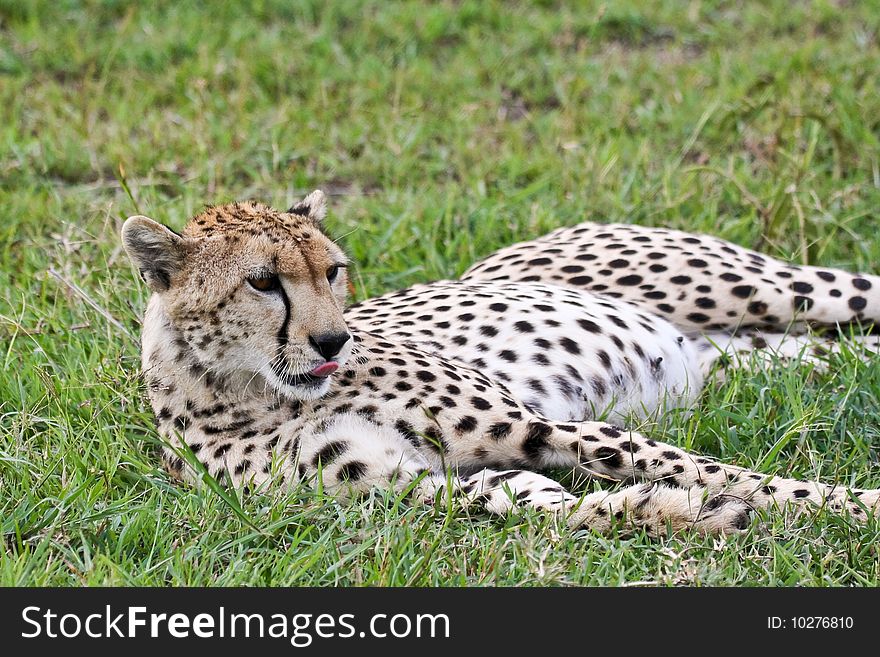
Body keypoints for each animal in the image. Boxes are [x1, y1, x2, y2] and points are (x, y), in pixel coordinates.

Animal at [122, 191, 880, 540]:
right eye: (262, 282)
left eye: (331, 271)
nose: (336, 340)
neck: (250, 391)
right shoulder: (411, 487)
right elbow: (551, 503)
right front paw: (676, 512)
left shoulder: (541, 426)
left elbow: (734, 472)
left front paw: (856, 506)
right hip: (749, 352)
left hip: (766, 287)